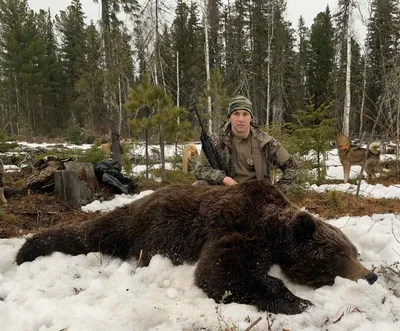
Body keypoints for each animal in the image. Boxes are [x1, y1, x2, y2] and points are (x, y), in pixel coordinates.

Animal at [14, 180, 378, 316]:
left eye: (355, 252)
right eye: (339, 255)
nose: (371, 275)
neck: (271, 227)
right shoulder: (237, 228)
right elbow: (220, 272)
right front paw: (296, 300)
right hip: (132, 226)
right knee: (92, 234)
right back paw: (27, 250)